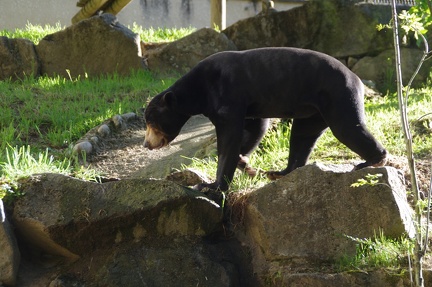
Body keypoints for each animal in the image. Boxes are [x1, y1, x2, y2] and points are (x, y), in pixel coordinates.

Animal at [143, 46, 386, 191]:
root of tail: (357, 77)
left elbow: (229, 137)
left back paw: (372, 160)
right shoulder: (247, 105)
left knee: (347, 128)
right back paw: (280, 172)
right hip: (313, 110)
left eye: (152, 123)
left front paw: (213, 185)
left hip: (337, 96)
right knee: (302, 135)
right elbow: (254, 128)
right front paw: (244, 162)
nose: (146, 144)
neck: (198, 91)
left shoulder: (228, 94)